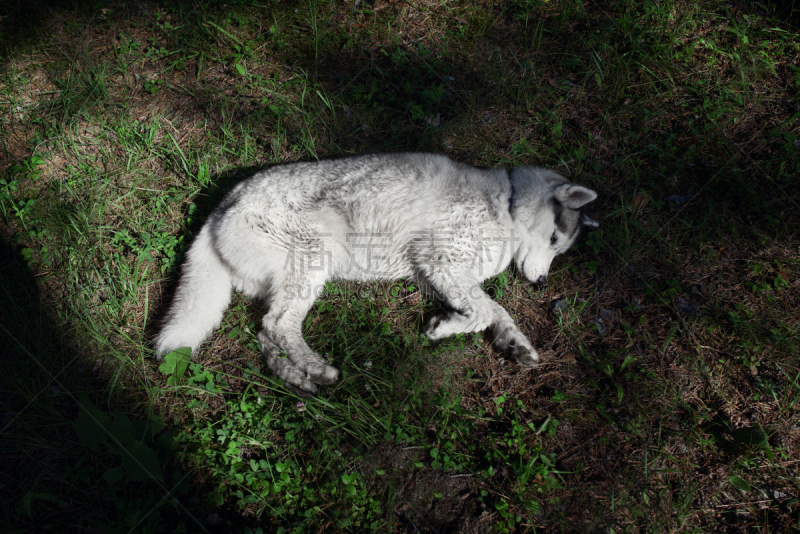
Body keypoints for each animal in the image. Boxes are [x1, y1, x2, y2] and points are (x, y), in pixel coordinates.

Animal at [155, 153, 592, 396]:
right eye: (554, 238)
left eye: (560, 249)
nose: (542, 284)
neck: (508, 204)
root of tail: (222, 205)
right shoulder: (441, 260)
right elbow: (484, 312)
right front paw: (444, 329)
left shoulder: (436, 276)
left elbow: (496, 311)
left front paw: (514, 343)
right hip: (314, 259)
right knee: (279, 326)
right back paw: (318, 368)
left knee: (266, 333)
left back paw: (297, 377)